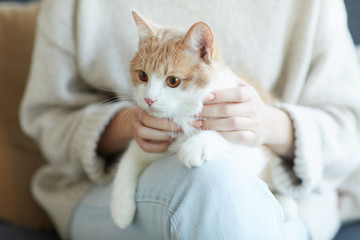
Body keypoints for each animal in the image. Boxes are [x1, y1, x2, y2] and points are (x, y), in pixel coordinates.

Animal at [111, 10, 296, 229]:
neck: (183, 116)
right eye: (142, 76)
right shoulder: (149, 144)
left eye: (172, 81)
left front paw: (197, 145)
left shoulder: (257, 152)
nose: (148, 99)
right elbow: (129, 159)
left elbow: (229, 139)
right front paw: (120, 209)